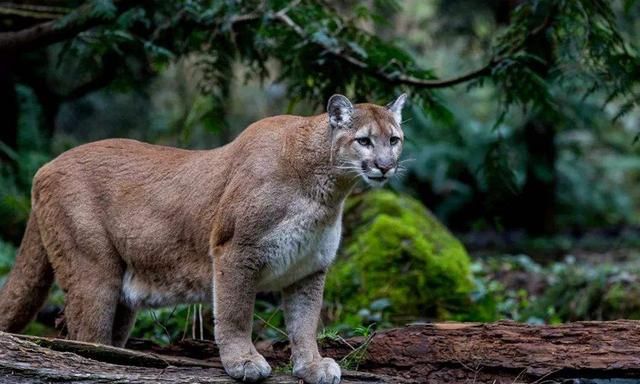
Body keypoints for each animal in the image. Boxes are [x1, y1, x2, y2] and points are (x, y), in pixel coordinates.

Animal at [0, 92, 404, 380]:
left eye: (394, 139)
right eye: (364, 141)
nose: (386, 166)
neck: (325, 192)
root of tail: (45, 166)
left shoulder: (308, 269)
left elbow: (305, 322)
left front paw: (312, 366)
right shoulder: (236, 251)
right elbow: (236, 311)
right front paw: (243, 361)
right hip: (94, 272)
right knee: (83, 341)